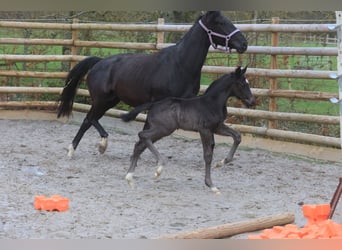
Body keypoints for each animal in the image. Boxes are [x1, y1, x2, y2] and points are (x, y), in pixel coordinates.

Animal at [57, 11, 247, 157]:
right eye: (220, 22)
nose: (244, 43)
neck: (179, 64)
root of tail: (99, 62)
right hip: (101, 100)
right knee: (89, 119)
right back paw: (88, 147)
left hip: (111, 100)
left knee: (90, 120)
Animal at [121, 66, 255, 193]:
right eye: (242, 84)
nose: (252, 102)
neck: (212, 103)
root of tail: (153, 104)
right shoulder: (204, 130)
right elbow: (208, 155)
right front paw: (211, 185)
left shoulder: (217, 127)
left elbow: (237, 136)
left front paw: (221, 163)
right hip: (164, 129)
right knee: (143, 135)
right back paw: (159, 168)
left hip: (157, 129)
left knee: (139, 145)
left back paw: (130, 178)